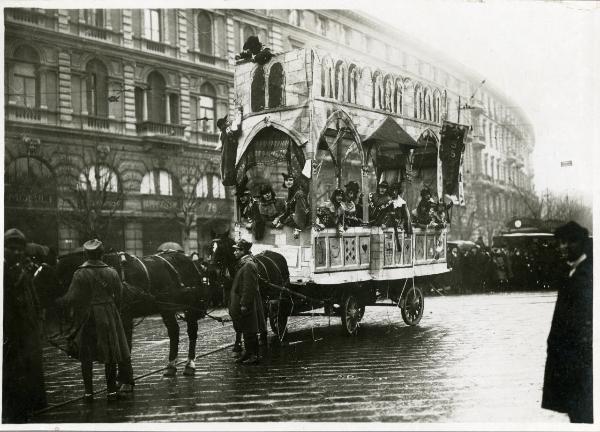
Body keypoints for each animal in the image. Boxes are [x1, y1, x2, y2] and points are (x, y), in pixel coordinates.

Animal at [34, 248, 211, 376]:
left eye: (43, 279)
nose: (34, 308)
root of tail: (189, 260)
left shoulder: (125, 317)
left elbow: (127, 345)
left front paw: (123, 381)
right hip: (166, 308)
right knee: (174, 331)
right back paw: (171, 366)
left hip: (187, 306)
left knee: (191, 331)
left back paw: (189, 364)